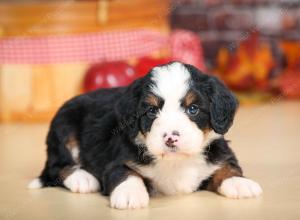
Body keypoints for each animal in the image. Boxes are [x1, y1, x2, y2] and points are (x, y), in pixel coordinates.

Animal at [28, 62, 262, 210]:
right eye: (151, 111)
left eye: (193, 109)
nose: (171, 138)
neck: (176, 162)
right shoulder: (118, 161)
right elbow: (128, 174)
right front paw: (130, 193)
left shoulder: (220, 151)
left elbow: (227, 166)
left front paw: (239, 183)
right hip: (63, 128)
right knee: (56, 167)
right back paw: (83, 178)